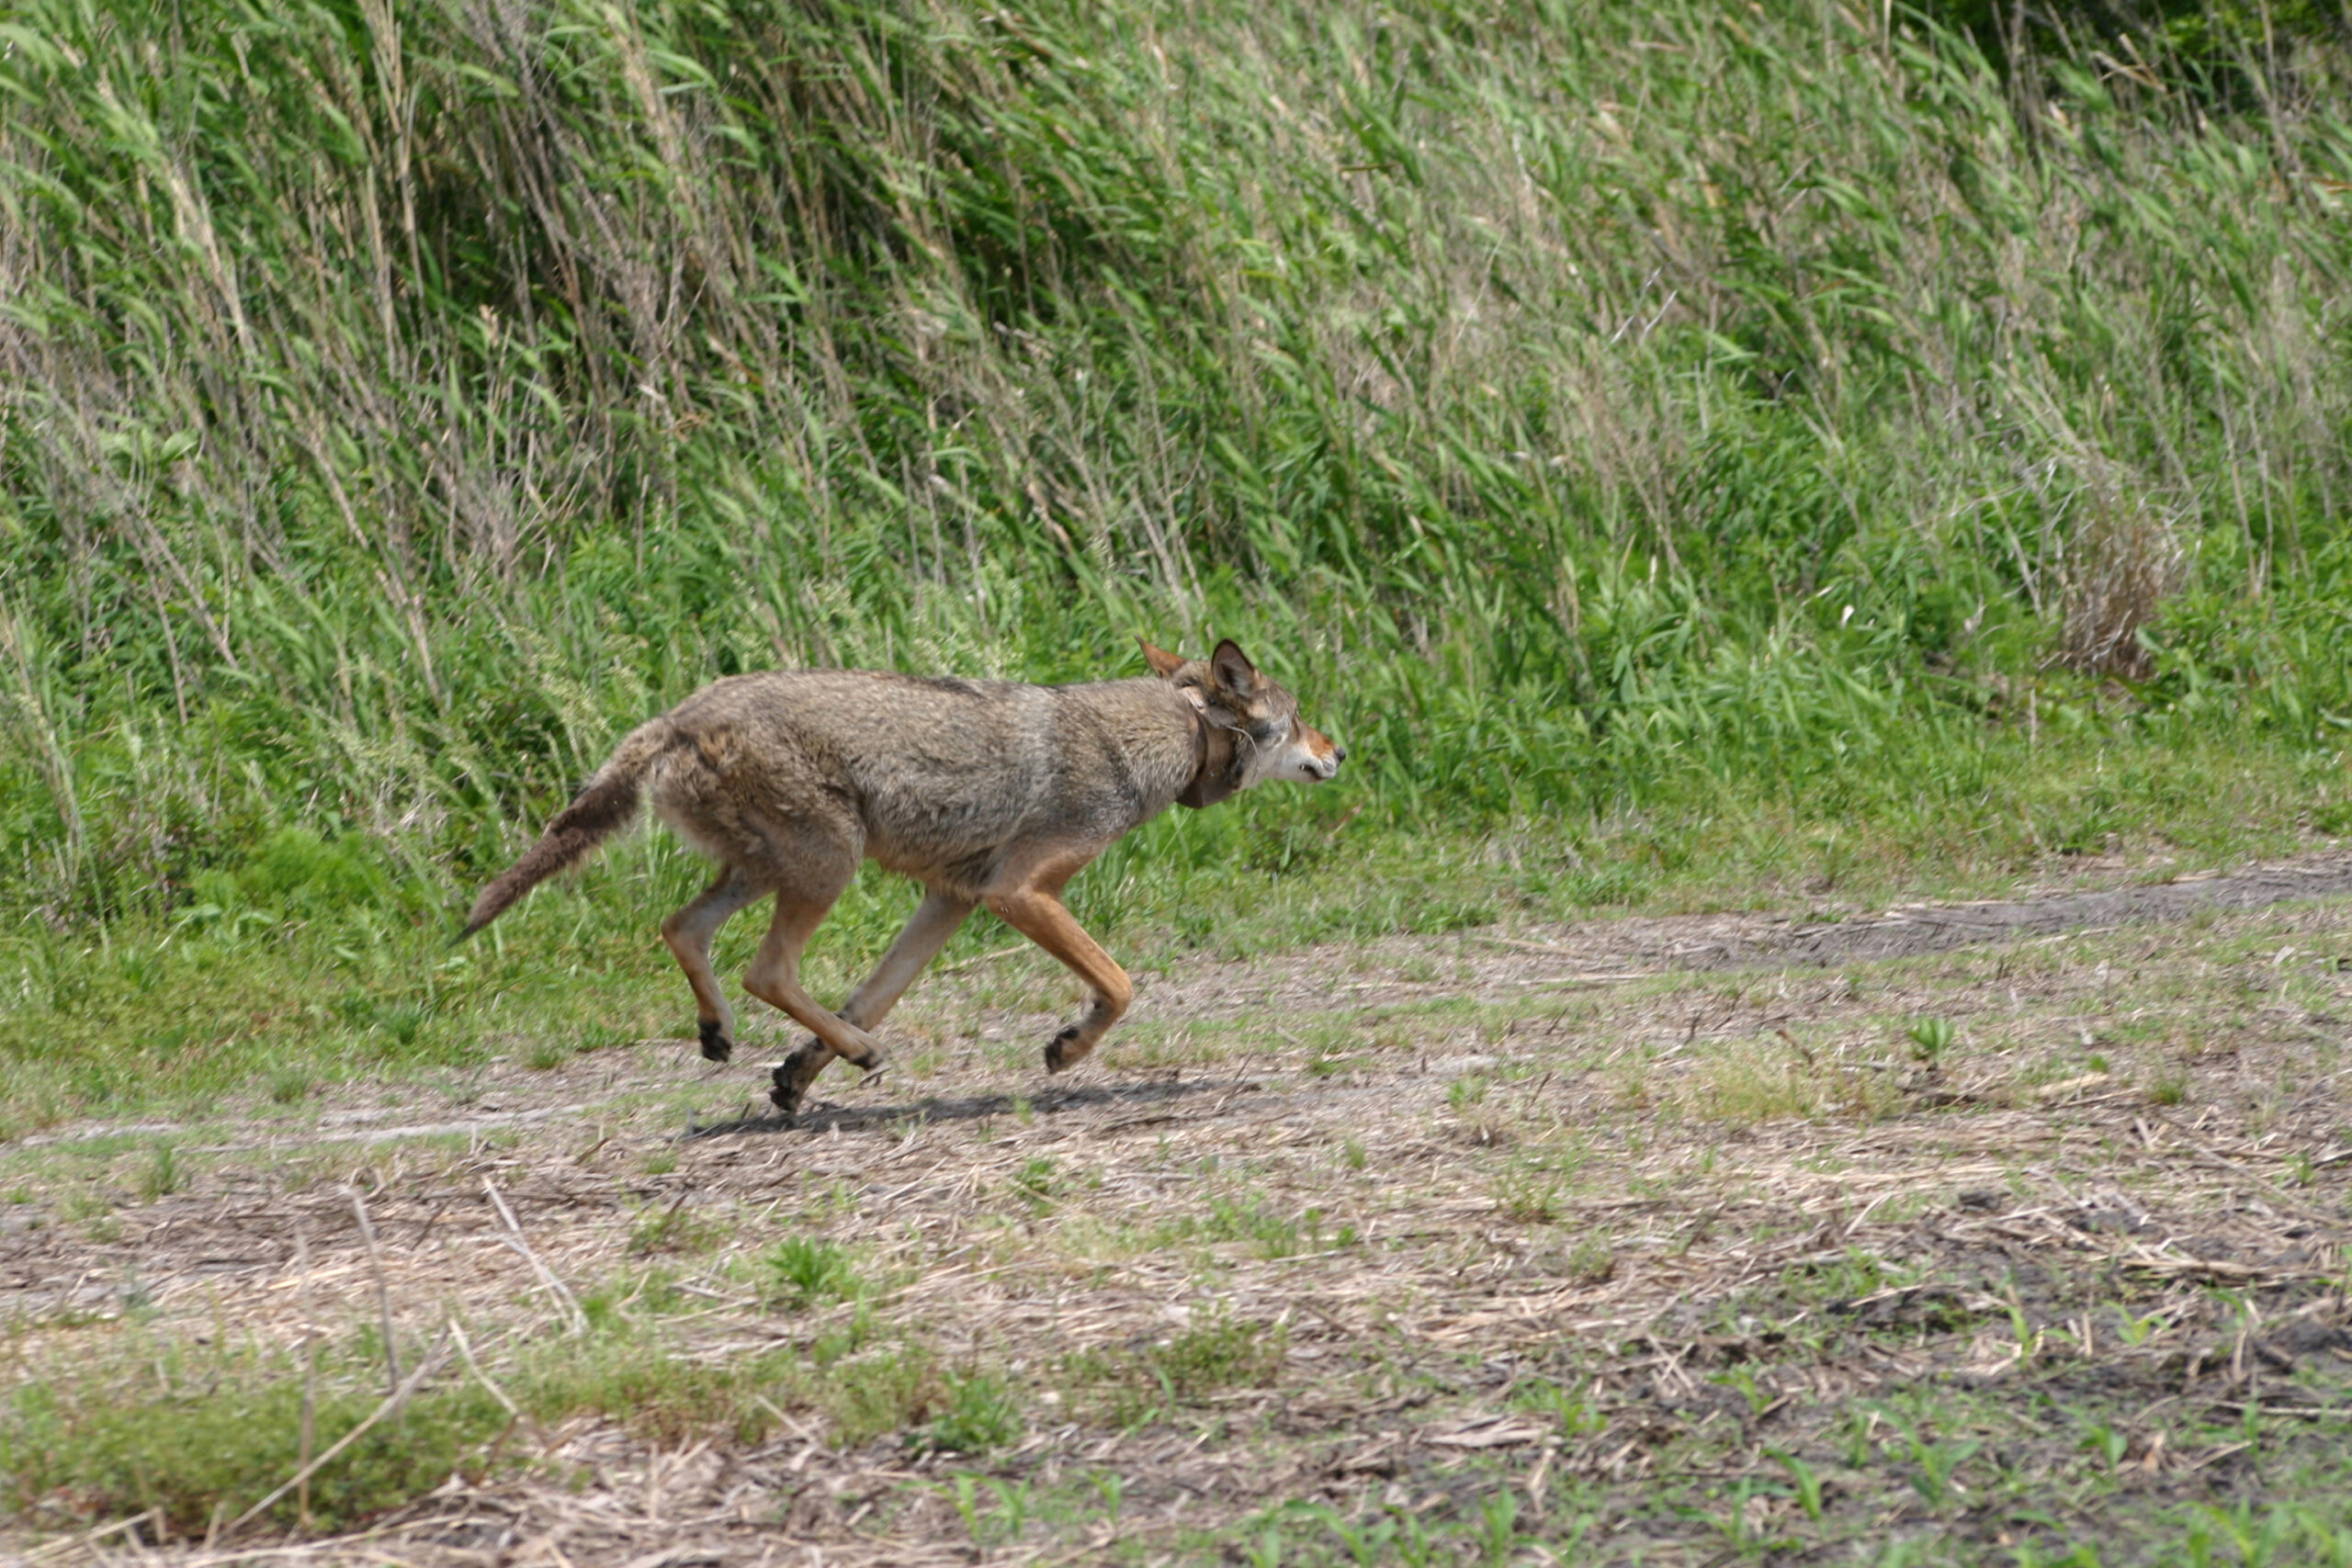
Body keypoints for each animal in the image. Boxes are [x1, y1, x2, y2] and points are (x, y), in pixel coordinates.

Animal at [463, 639, 1345, 1114]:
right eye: (1299, 718)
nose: (1340, 752)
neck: (1172, 733)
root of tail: (676, 714)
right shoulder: (1019, 894)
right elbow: (1121, 984)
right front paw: (1069, 1047)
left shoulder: (951, 901)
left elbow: (872, 993)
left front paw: (798, 1074)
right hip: (828, 866)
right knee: (765, 969)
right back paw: (850, 1049)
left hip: (764, 873)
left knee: (683, 930)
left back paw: (741, 1037)